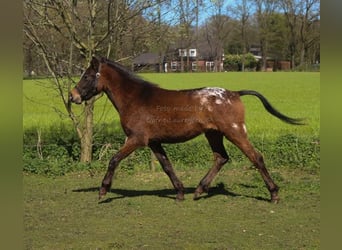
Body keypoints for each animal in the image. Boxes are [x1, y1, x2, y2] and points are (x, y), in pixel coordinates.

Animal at [69, 56, 302, 203]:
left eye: (87, 76)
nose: (73, 96)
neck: (136, 98)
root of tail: (235, 93)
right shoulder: (154, 142)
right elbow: (167, 166)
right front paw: (180, 192)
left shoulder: (137, 139)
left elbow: (114, 159)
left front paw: (102, 191)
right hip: (214, 134)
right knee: (221, 158)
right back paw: (198, 190)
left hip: (234, 131)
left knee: (256, 157)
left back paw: (274, 194)